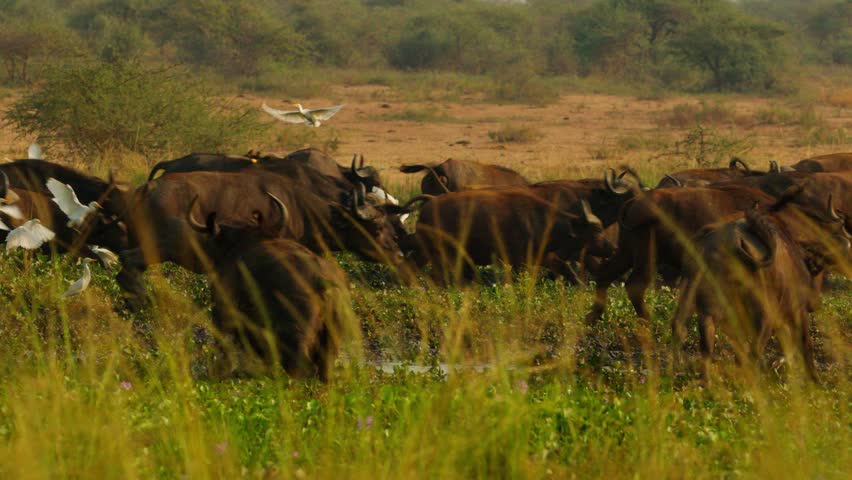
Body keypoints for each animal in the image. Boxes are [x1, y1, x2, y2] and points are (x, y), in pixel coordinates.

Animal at [404, 188, 613, 284]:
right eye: (596, 231)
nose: (613, 248)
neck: (541, 221)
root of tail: (429, 205)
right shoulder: (518, 262)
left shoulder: (544, 257)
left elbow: (567, 269)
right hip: (439, 253)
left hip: (429, 253)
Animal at [587, 185, 779, 322]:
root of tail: (635, 201)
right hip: (646, 256)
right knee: (635, 285)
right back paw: (648, 320)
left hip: (626, 252)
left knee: (605, 274)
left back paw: (593, 317)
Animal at [671, 198, 850, 381]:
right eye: (818, 268)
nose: (814, 304)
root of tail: (731, 241)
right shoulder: (797, 311)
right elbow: (805, 345)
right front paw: (815, 380)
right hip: (764, 313)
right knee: (755, 350)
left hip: (695, 298)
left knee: (689, 332)